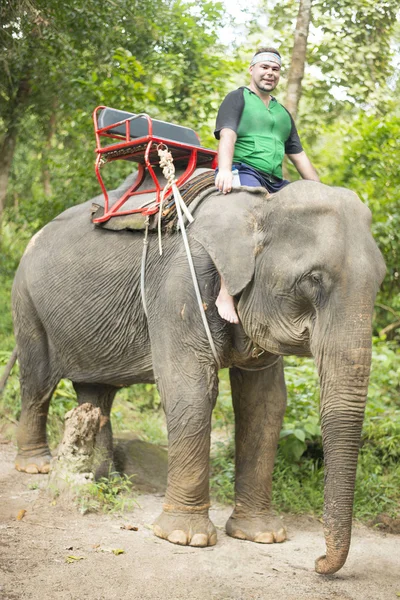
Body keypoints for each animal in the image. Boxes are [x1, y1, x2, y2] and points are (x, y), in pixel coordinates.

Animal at [11, 168, 384, 572]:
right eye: (312, 279)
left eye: (381, 281)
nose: (317, 562)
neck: (258, 206)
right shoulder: (181, 284)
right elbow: (190, 390)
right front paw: (184, 537)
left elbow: (265, 402)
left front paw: (263, 536)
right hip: (27, 302)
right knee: (38, 381)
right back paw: (37, 467)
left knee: (97, 393)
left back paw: (100, 479)